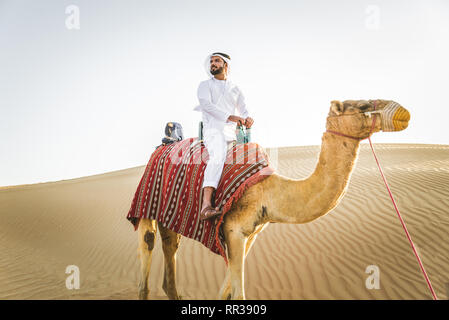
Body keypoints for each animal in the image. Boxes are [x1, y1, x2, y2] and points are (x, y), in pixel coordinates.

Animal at [136, 99, 410, 298]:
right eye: (363, 106)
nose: (403, 113)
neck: (268, 190)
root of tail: (165, 145)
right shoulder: (233, 229)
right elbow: (238, 293)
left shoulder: (251, 234)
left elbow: (225, 290)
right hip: (146, 202)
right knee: (148, 247)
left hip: (170, 217)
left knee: (170, 248)